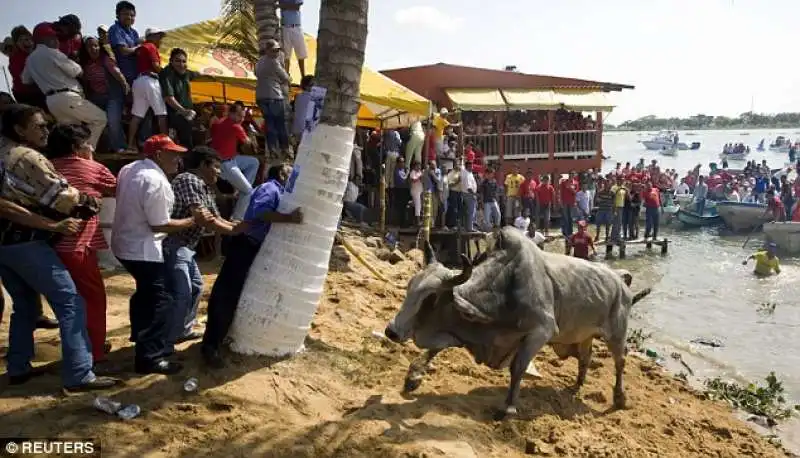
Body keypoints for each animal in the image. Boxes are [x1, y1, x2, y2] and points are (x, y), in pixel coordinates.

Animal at [384, 226, 652, 418]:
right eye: (410, 287)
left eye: (431, 298)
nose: (391, 331)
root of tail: (620, 280)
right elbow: (435, 349)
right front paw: (413, 376)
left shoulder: (541, 332)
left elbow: (517, 367)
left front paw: (509, 407)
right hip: (583, 335)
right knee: (586, 358)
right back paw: (576, 386)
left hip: (617, 334)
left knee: (620, 362)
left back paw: (619, 398)